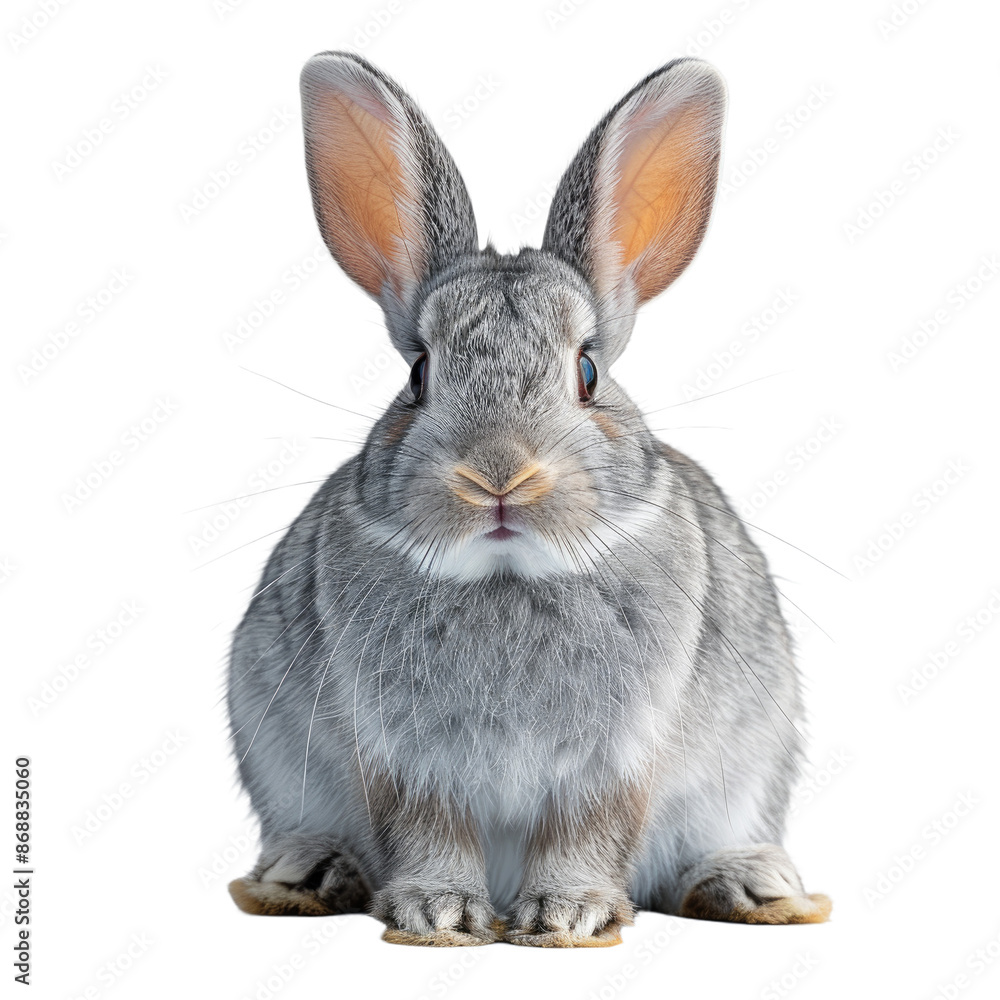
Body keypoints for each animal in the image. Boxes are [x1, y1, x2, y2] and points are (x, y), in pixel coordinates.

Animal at [226, 50, 831, 947]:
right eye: (418, 374)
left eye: (587, 371)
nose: (499, 473)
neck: (507, 574)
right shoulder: (406, 760)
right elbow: (429, 833)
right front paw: (438, 915)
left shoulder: (615, 759)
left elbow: (587, 834)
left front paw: (567, 919)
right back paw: (305, 874)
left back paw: (752, 888)